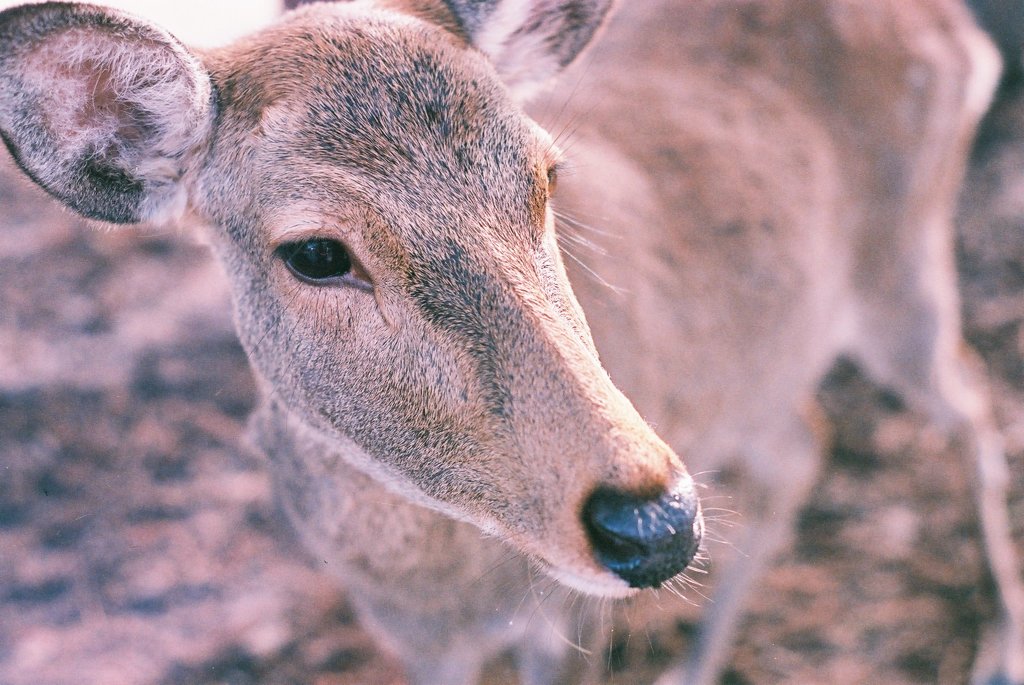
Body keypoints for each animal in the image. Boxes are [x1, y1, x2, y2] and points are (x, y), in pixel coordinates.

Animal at [0, 0, 1019, 679]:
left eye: (545, 175)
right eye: (317, 251)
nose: (655, 524)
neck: (452, 587)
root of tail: (958, 31)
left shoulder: (568, 620)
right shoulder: (413, 641)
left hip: (902, 270)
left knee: (972, 399)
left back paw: (998, 643)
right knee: (805, 442)